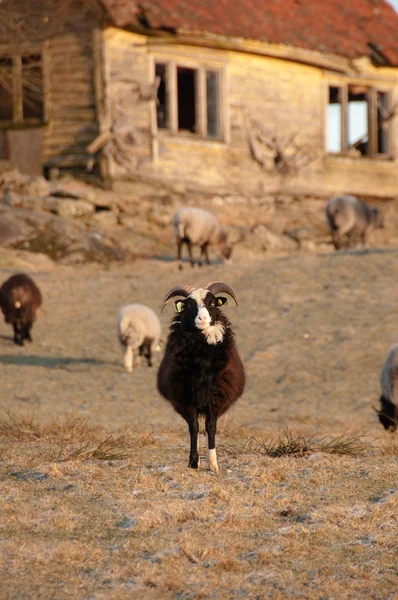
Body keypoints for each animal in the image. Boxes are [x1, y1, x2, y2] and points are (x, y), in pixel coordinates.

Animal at [156, 282, 244, 474]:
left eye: (212, 303)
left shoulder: (215, 398)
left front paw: (213, 464)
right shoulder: (186, 398)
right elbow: (194, 428)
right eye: (189, 305)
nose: (202, 319)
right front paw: (193, 462)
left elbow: (211, 427)